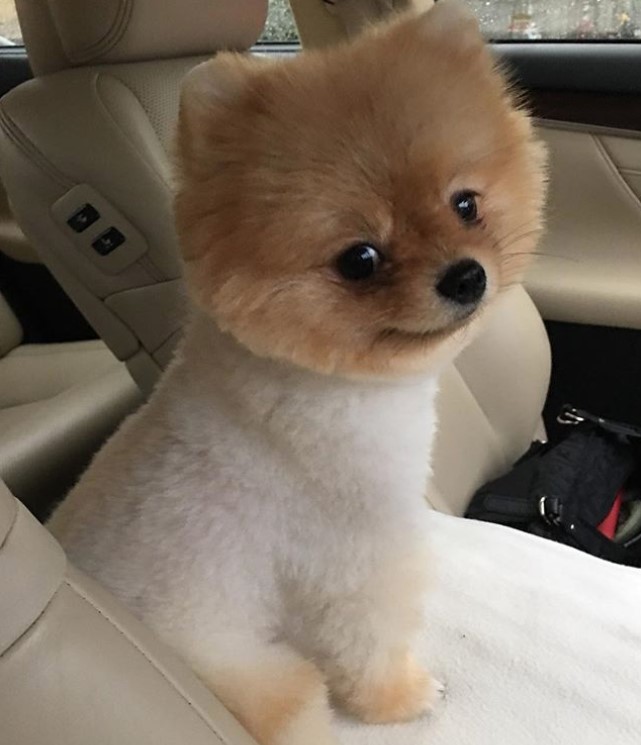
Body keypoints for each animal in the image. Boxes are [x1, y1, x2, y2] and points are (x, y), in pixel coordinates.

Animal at [48, 2, 544, 740]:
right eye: (360, 259)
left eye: (465, 204)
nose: (466, 276)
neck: (319, 383)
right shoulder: (350, 554)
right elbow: (368, 637)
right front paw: (397, 698)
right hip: (261, 679)